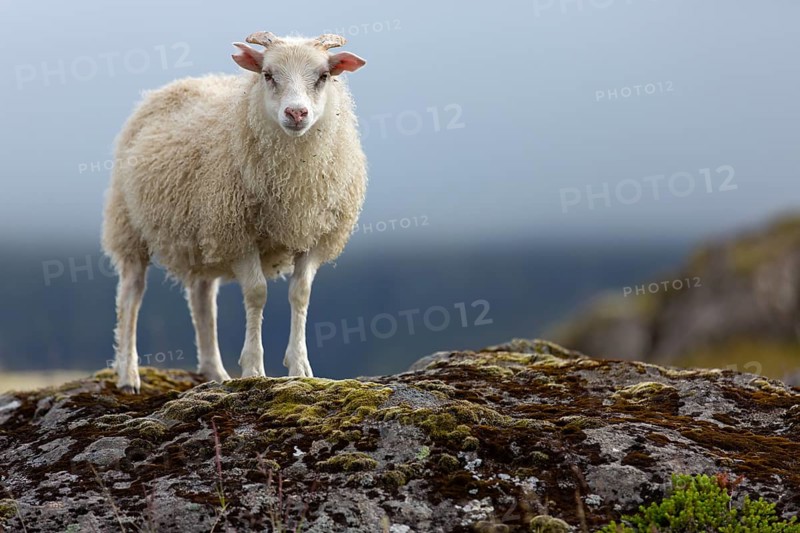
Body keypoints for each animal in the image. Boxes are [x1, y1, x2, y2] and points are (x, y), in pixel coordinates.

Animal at [101, 31, 367, 393]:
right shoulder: (238, 233)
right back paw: (128, 375)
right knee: (131, 294)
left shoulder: (313, 235)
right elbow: (257, 294)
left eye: (324, 76)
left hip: (201, 235)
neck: (294, 176)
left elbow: (300, 295)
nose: (296, 113)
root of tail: (181, 83)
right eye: (268, 75)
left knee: (202, 300)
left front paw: (300, 367)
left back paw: (215, 372)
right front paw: (254, 367)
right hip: (130, 225)